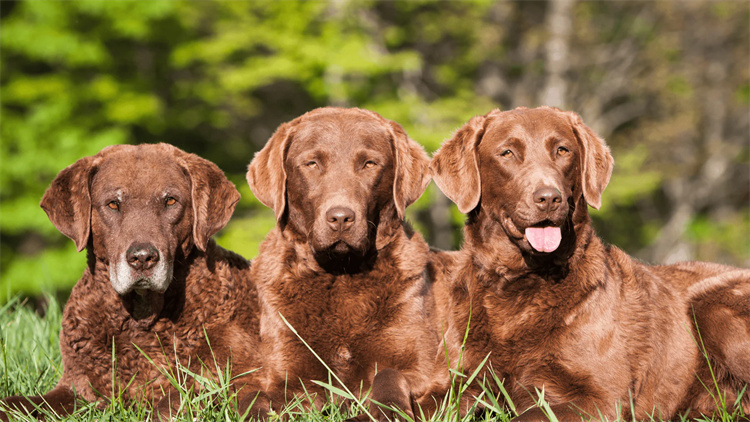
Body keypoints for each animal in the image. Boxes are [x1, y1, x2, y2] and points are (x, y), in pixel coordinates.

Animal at [0, 143, 268, 420]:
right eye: (113, 204)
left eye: (170, 201)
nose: (142, 258)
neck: (139, 319)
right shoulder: (78, 386)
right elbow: (18, 403)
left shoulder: (241, 378)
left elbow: (178, 399)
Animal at [247, 107, 440, 420]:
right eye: (312, 163)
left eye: (369, 163)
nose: (340, 217)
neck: (340, 274)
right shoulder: (286, 372)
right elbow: (270, 398)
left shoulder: (422, 368)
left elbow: (388, 374)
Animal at [428, 106, 750, 422]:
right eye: (507, 152)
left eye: (562, 150)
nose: (549, 198)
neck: (519, 287)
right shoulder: (457, 383)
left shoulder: (602, 398)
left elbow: (528, 414)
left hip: (709, 304)